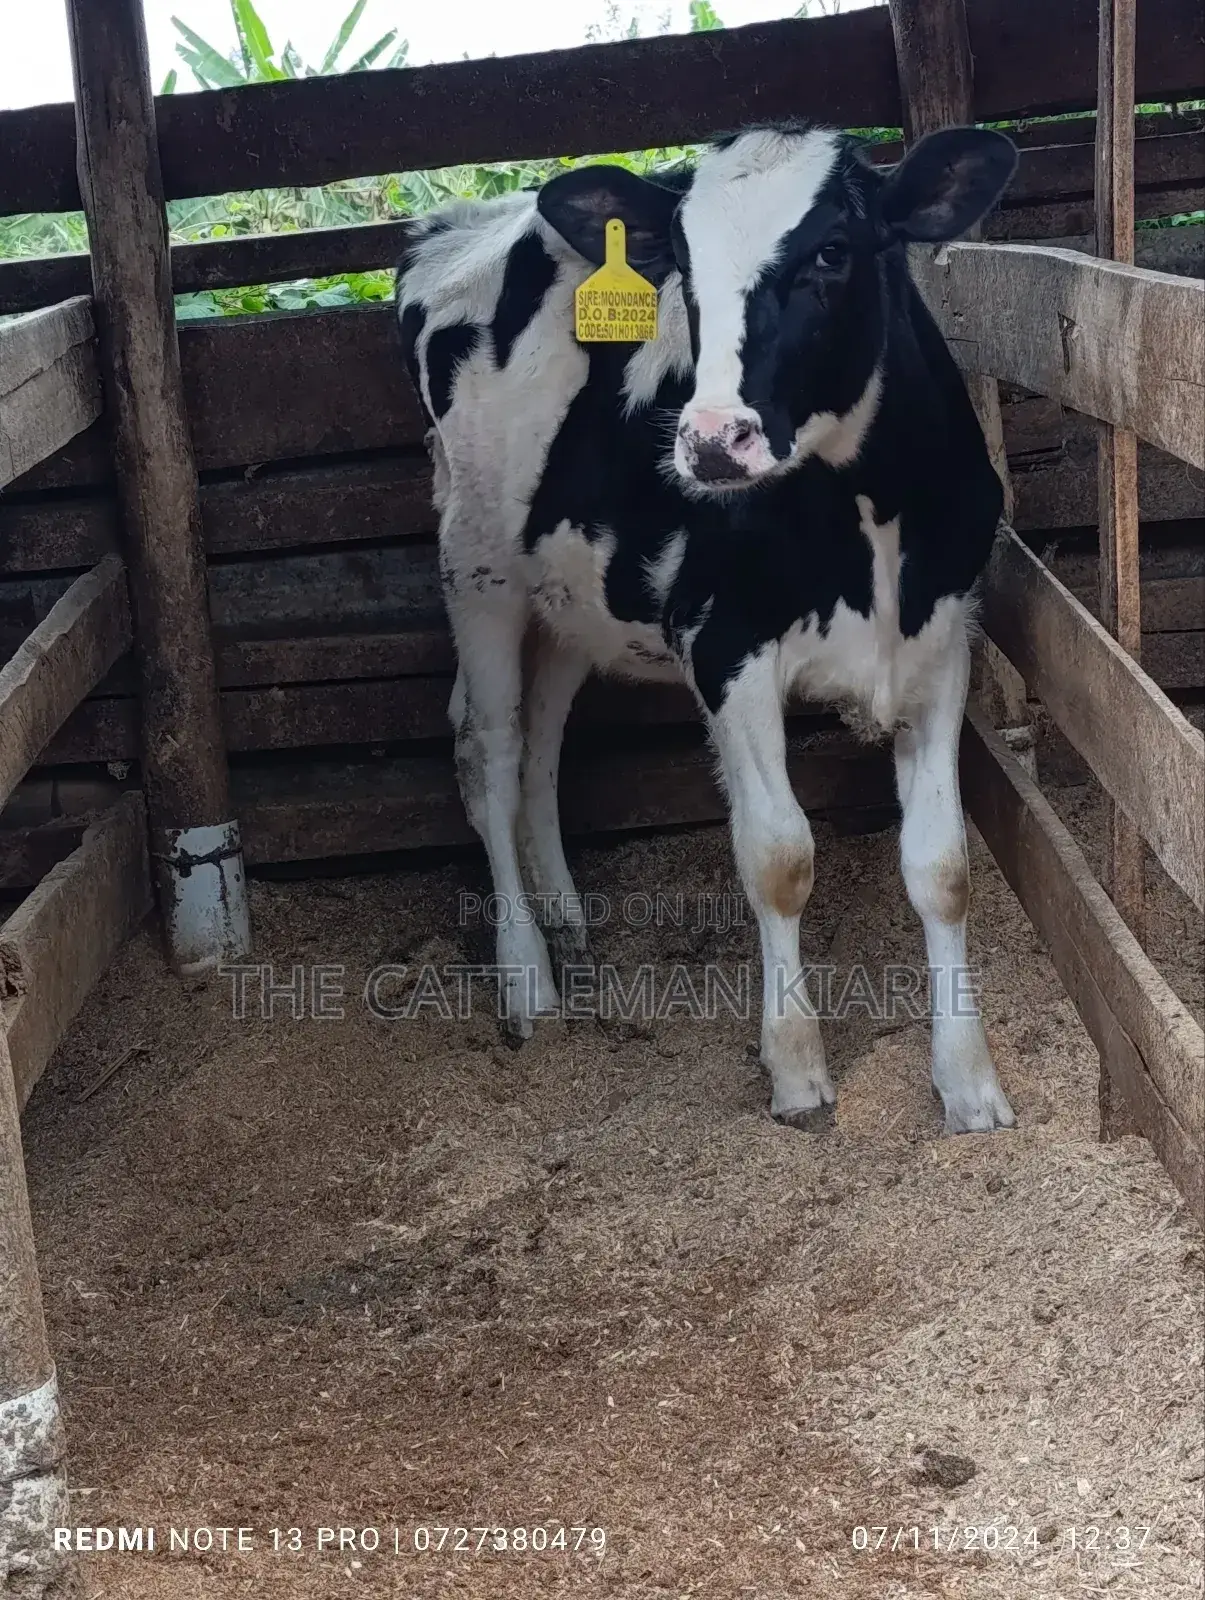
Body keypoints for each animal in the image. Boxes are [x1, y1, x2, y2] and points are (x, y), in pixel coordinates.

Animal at [395, 122, 1019, 1134]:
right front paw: (795, 1069)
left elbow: (943, 867)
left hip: (571, 599)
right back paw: (528, 981)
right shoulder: (724, 647)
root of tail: (460, 222)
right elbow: (778, 857)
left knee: (542, 746)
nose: (712, 441)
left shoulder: (940, 642)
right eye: (681, 269)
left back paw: (568, 921)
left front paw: (968, 1083)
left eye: (833, 251)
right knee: (487, 754)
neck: (866, 513)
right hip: (476, 570)